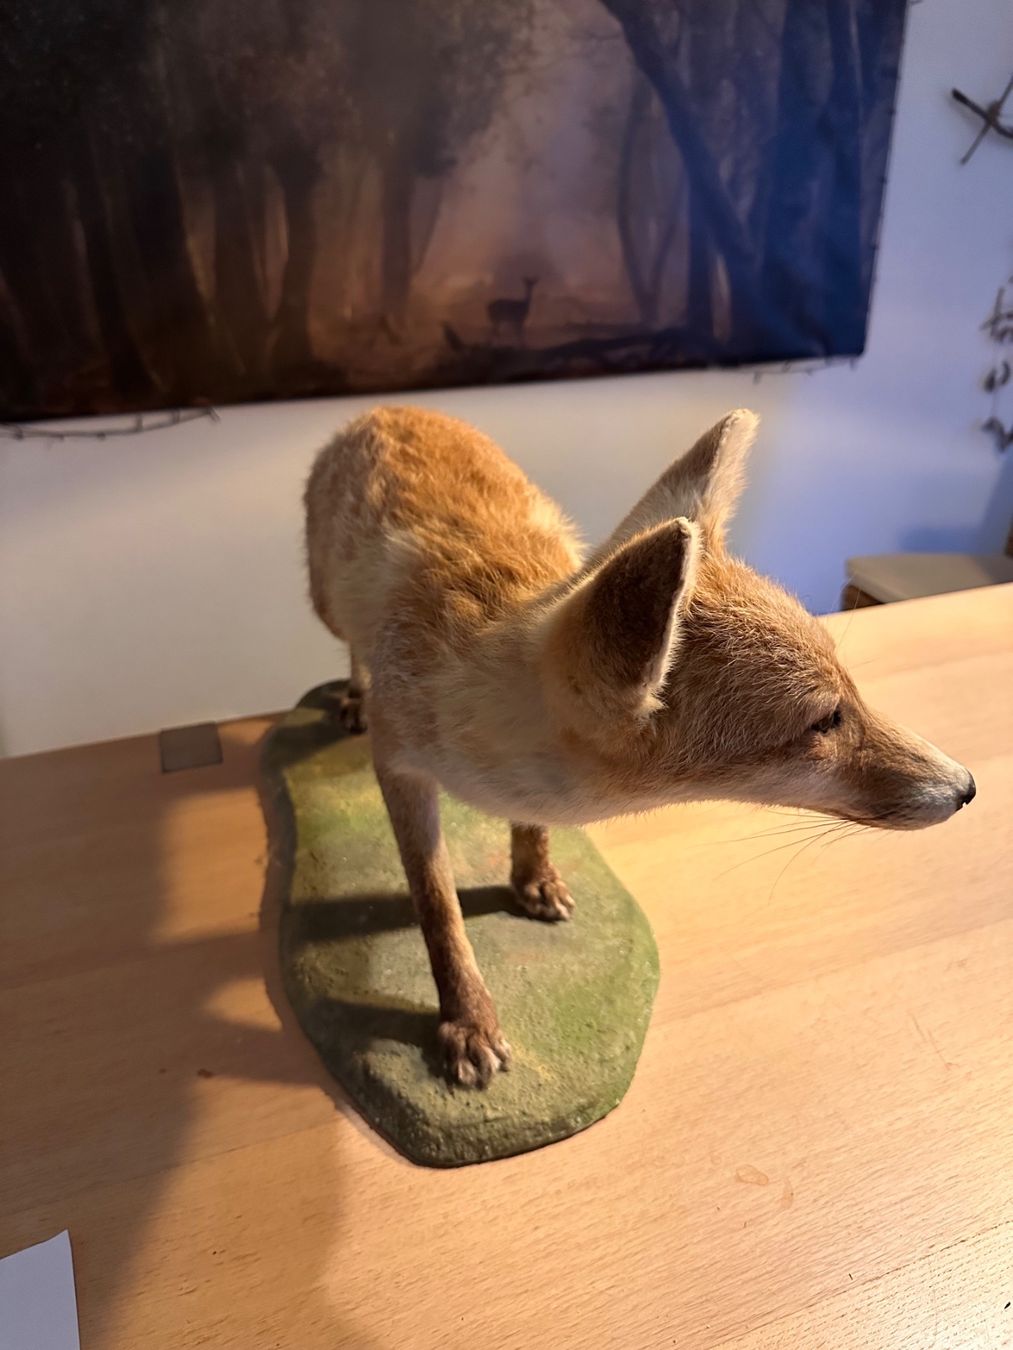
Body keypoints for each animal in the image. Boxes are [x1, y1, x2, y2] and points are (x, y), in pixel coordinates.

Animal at [304, 405, 975, 1088]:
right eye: (824, 721)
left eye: (851, 693)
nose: (967, 787)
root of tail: (390, 410)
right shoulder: (400, 765)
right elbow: (438, 908)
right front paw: (466, 1019)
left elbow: (527, 833)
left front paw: (532, 876)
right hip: (328, 605)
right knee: (348, 646)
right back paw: (353, 693)